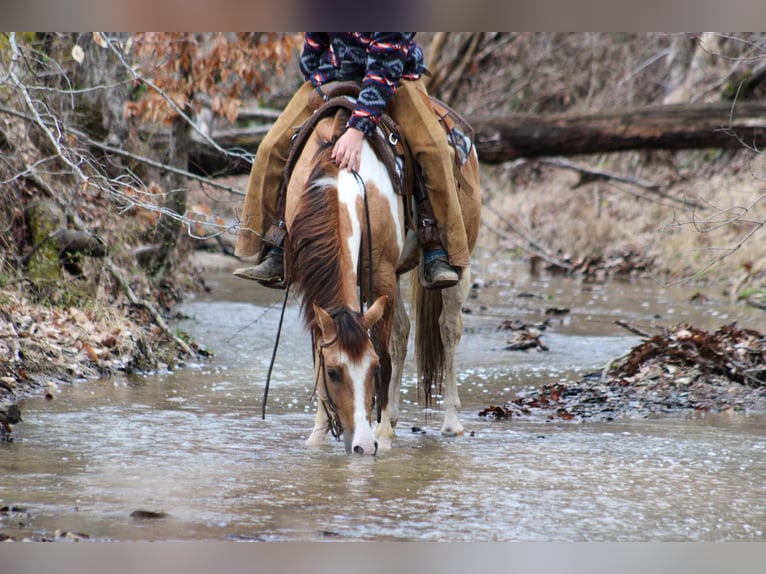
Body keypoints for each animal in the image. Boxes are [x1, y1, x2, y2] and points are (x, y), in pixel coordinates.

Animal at [284, 100, 484, 460]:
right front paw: (319, 434)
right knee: (402, 331)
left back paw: (450, 421)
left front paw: (383, 437)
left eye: (372, 369)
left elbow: (385, 352)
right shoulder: (312, 284)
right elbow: (319, 350)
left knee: (448, 329)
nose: (361, 446)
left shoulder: (381, 272)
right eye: (333, 372)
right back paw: (393, 417)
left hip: (459, 262)